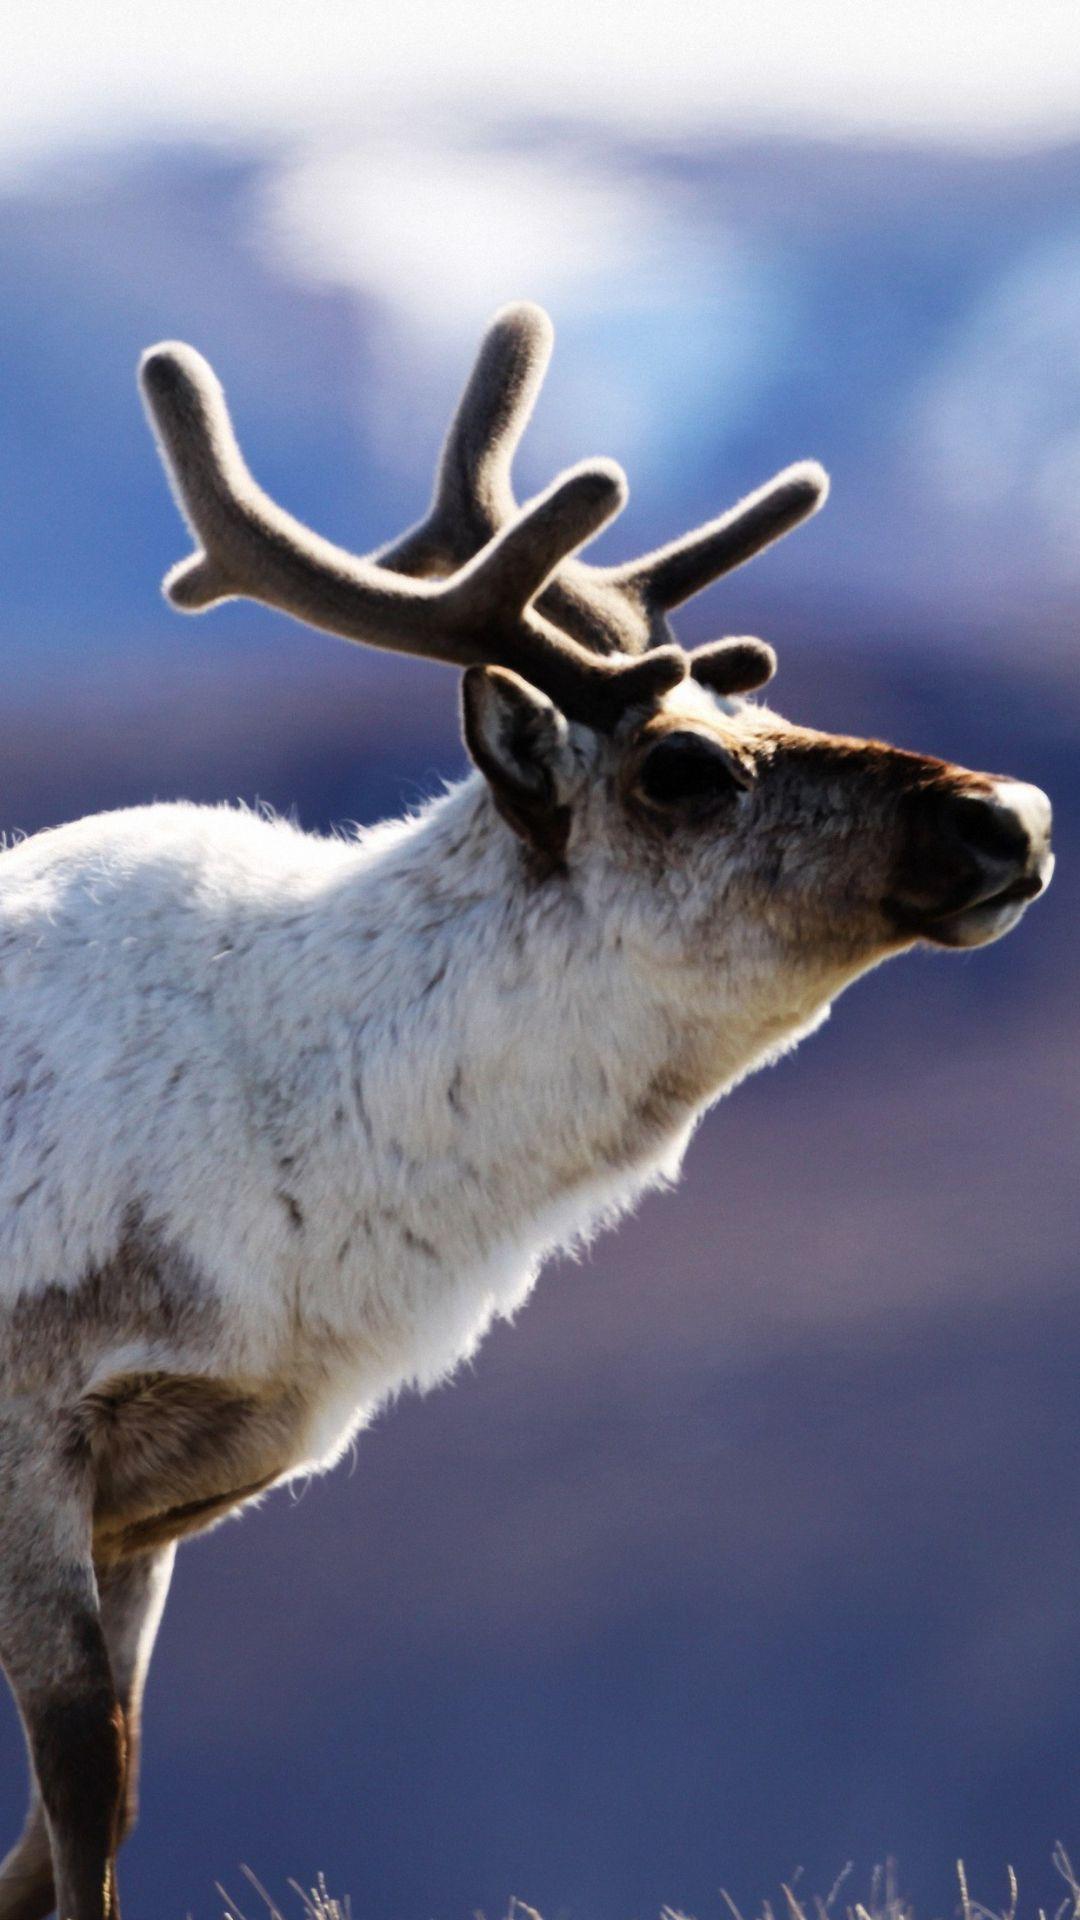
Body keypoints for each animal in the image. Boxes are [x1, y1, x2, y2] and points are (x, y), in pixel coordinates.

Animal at [0, 300, 1053, 1920]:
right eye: (679, 765)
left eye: (759, 697)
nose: (1012, 815)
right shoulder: (34, 1442)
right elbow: (82, 1789)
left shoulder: (156, 1499)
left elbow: (69, 1831)